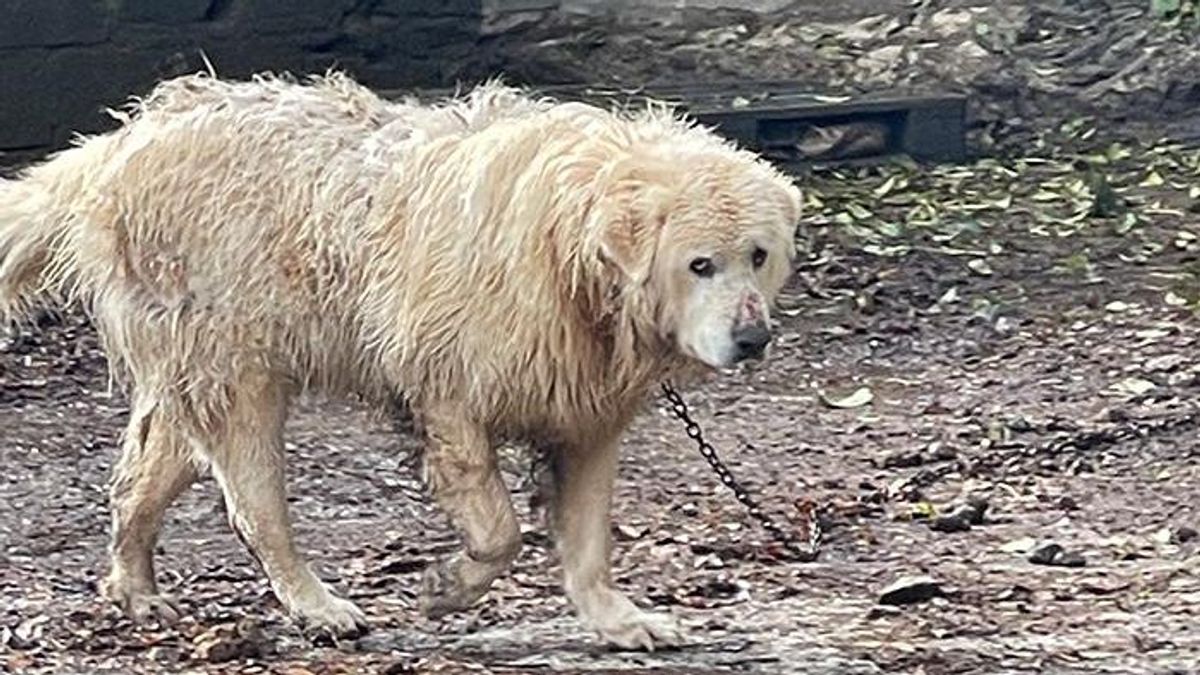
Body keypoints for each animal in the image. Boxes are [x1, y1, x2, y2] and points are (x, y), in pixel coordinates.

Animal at [2, 72, 806, 648]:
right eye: (699, 264)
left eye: (757, 255)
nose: (753, 338)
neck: (568, 249)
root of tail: (127, 137)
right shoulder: (449, 387)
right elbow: (498, 528)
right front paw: (448, 585)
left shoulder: (583, 406)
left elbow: (585, 532)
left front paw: (618, 617)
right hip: (238, 360)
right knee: (254, 499)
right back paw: (317, 604)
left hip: (193, 359)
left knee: (142, 473)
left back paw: (134, 586)